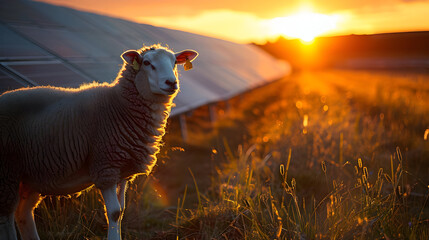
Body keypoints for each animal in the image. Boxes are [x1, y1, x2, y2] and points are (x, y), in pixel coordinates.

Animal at [0, 44, 197, 239]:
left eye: (174, 62)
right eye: (147, 63)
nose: (171, 83)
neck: (118, 105)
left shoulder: (123, 170)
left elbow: (122, 210)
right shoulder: (105, 165)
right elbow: (114, 212)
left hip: (30, 176)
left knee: (23, 213)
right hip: (7, 171)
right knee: (6, 215)